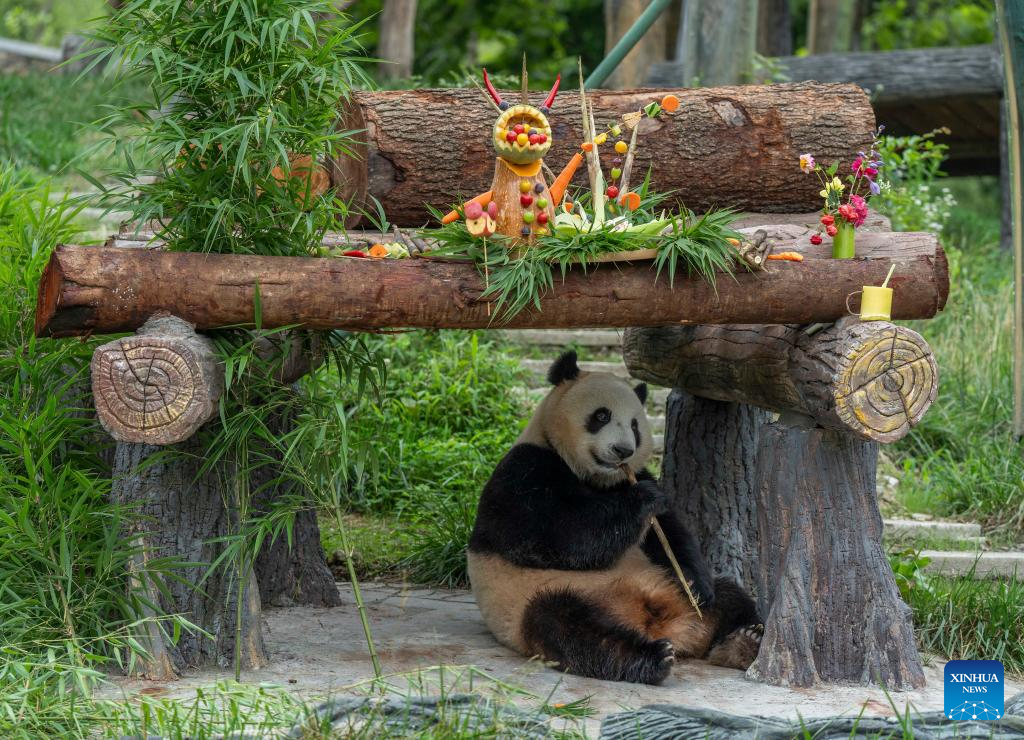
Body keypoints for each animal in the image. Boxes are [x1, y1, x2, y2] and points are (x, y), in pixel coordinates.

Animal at [468, 350, 765, 687]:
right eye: (601, 416)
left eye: (635, 425)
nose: (623, 450)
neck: (596, 478)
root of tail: (660, 625)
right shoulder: (522, 473)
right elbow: (554, 536)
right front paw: (643, 498)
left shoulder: (636, 475)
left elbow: (670, 534)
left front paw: (693, 581)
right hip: (538, 599)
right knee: (567, 626)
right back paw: (652, 657)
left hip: (670, 588)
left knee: (730, 596)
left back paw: (743, 640)